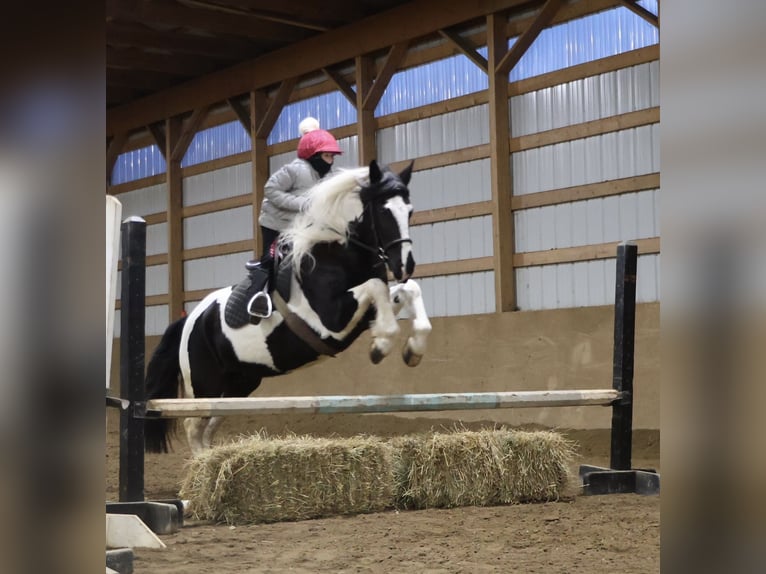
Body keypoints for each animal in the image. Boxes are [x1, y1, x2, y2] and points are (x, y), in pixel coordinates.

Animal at [144, 160, 432, 456]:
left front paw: (412, 350)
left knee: (210, 425)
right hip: (205, 385)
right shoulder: (332, 321)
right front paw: (381, 347)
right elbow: (376, 286)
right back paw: (201, 464)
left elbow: (407, 291)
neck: (336, 253)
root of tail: (189, 320)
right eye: (384, 212)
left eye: (409, 211)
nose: (405, 266)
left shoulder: (366, 313)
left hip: (240, 383)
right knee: (193, 425)